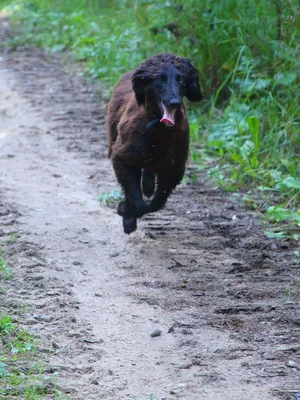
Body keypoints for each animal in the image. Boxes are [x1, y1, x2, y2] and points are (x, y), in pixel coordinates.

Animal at [106, 54, 203, 234]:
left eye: (181, 79)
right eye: (160, 79)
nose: (174, 102)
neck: (160, 131)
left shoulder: (175, 169)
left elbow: (156, 203)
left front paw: (127, 210)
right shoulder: (122, 157)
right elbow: (136, 200)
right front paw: (127, 215)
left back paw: (148, 185)